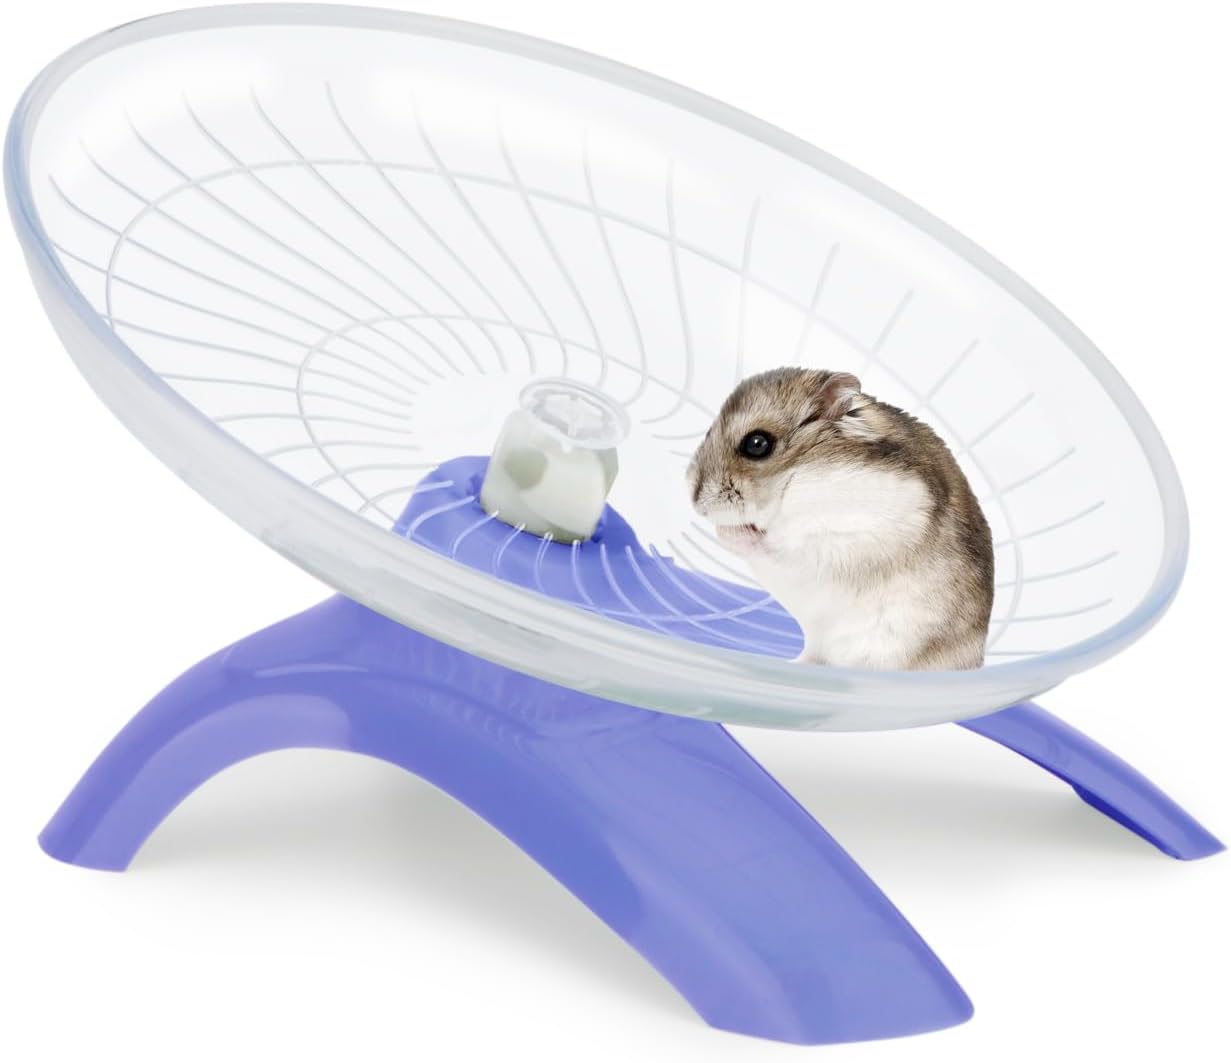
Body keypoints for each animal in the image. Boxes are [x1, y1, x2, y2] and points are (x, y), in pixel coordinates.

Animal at [687, 367, 993, 670]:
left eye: (757, 444)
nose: (694, 499)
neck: (794, 480)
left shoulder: (847, 536)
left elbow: (775, 543)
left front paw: (733, 532)